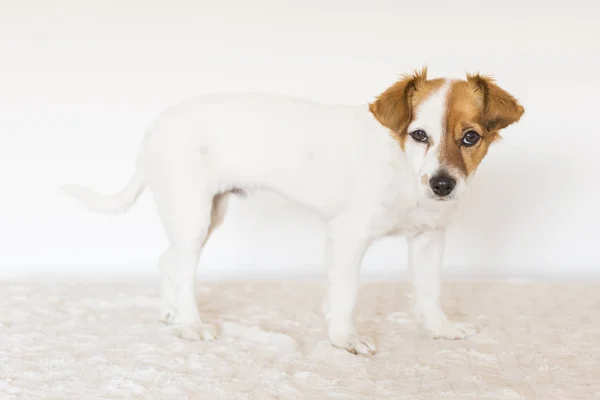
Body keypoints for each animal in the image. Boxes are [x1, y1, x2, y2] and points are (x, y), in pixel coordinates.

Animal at [63, 69, 524, 356]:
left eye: (470, 138)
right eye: (419, 135)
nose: (442, 185)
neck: (405, 172)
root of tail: (154, 128)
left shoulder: (428, 241)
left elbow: (429, 293)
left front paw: (439, 330)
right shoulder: (348, 238)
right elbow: (346, 294)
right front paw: (345, 339)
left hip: (207, 214)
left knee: (167, 260)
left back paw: (171, 312)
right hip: (193, 216)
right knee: (181, 268)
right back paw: (190, 323)